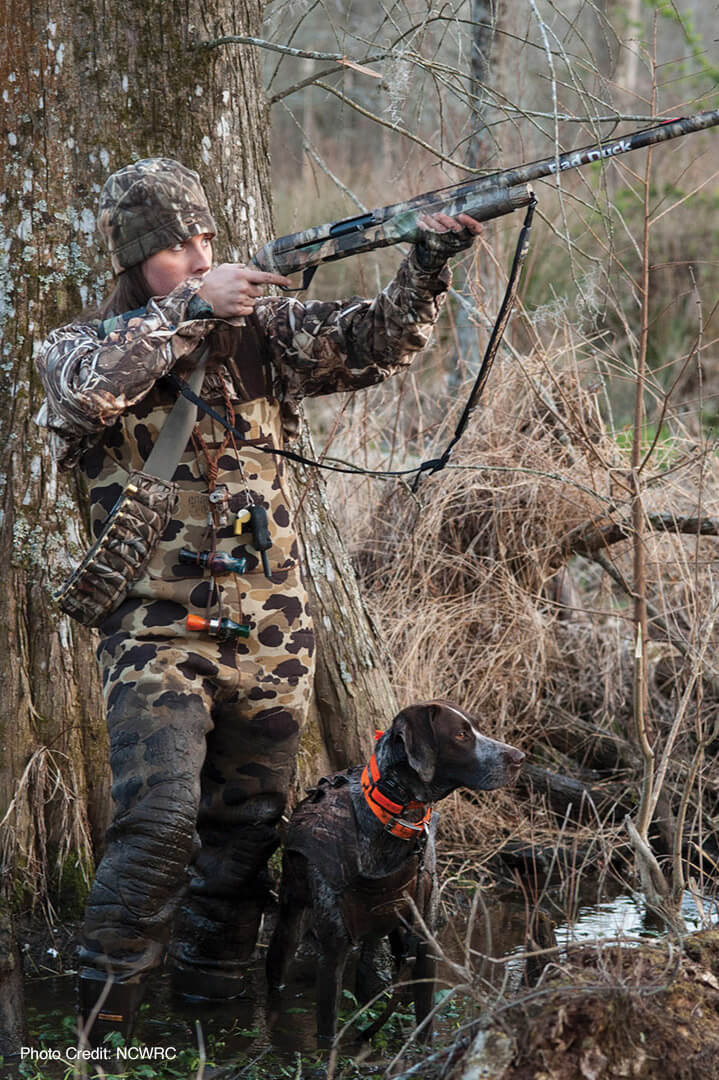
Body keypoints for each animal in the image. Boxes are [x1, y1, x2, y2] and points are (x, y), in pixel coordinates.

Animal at [264, 699, 520, 1045]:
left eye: (478, 727)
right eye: (461, 735)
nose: (519, 758)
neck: (393, 823)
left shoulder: (425, 941)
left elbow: (424, 1018)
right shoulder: (332, 951)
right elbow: (328, 1032)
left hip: (395, 934)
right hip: (290, 920)